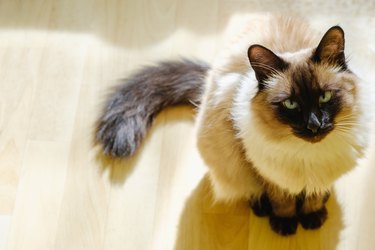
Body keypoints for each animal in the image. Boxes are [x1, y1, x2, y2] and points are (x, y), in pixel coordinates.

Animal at [94, 14, 374, 235]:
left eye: (325, 97)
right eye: (291, 104)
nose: (314, 126)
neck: (309, 155)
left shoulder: (324, 171)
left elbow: (314, 194)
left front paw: (312, 216)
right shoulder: (259, 164)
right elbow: (280, 197)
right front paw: (285, 224)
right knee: (249, 189)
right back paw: (262, 208)